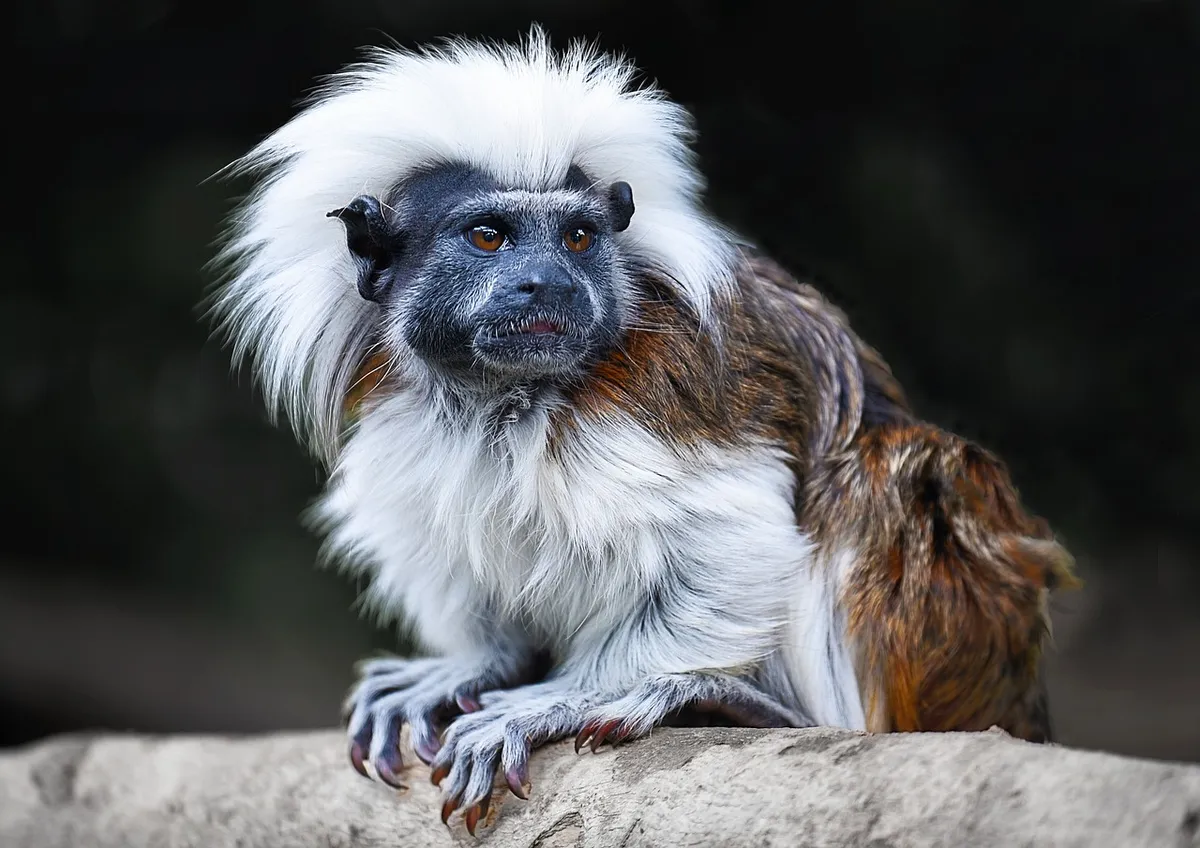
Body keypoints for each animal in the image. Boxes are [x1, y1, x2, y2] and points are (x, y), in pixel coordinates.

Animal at [210, 28, 1079, 836]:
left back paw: (740, 704)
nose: (548, 283)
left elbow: (734, 540)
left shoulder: (663, 391)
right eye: (488, 235)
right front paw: (473, 666)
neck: (508, 399)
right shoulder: (407, 408)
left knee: (897, 473)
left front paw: (559, 699)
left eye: (577, 239)